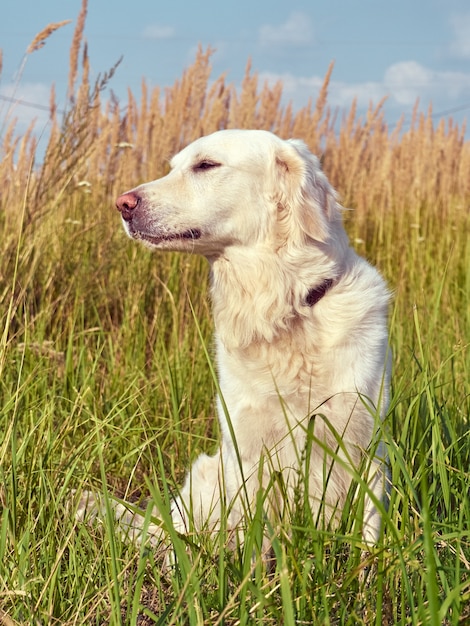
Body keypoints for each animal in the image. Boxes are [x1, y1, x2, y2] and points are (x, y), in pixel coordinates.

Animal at [79, 130, 392, 544]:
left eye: (206, 165)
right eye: (173, 167)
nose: (122, 204)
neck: (283, 311)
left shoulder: (365, 440)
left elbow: (369, 531)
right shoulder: (247, 451)